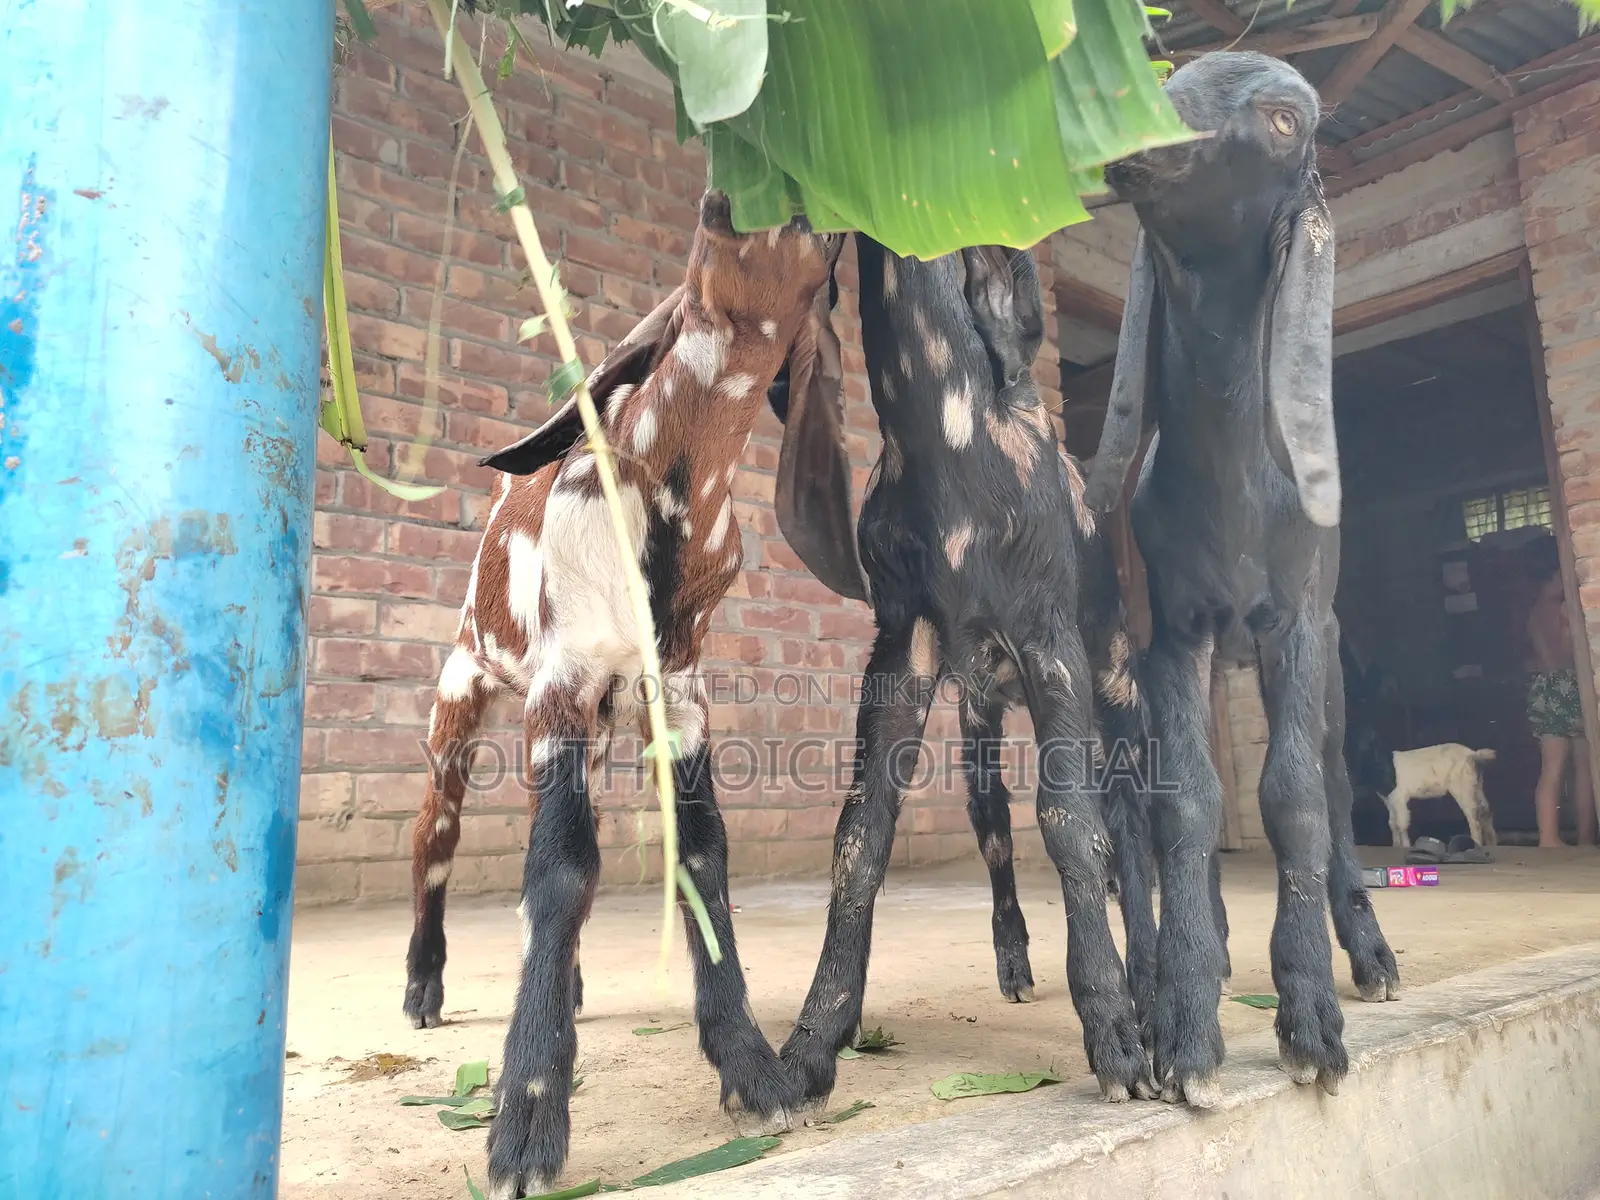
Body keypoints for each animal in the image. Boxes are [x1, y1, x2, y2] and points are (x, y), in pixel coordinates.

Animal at [401, 191, 844, 1198]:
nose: (747, 198)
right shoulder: (563, 683)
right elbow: (560, 868)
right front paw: (526, 1117)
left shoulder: (679, 695)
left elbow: (701, 856)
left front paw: (753, 1068)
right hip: (463, 694)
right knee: (435, 838)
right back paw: (423, 987)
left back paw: (561, 984)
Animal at [768, 234, 1159, 1109]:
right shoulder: (902, 648)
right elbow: (860, 835)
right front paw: (809, 1046)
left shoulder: (1051, 640)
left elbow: (1072, 824)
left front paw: (1118, 1038)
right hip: (979, 720)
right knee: (993, 827)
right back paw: (1014, 966)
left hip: (1117, 681)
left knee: (1132, 826)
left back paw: (1155, 976)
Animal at [1084, 51, 1401, 1105]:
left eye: (1284, 120)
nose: (1123, 126)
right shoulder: (1170, 630)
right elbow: (1186, 802)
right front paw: (1183, 1027)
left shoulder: (1294, 622)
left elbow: (1294, 796)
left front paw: (1311, 1019)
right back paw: (1209, 954)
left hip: (1330, 656)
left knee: (1339, 787)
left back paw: (1370, 954)